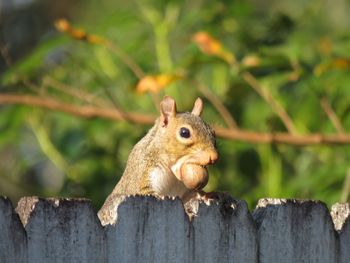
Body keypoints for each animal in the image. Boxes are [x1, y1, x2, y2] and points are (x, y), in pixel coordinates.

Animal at [98, 96, 219, 226]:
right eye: (184, 133)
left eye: (213, 132)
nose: (214, 157)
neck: (172, 173)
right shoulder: (144, 171)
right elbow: (146, 191)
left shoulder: (184, 190)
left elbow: (189, 196)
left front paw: (204, 196)